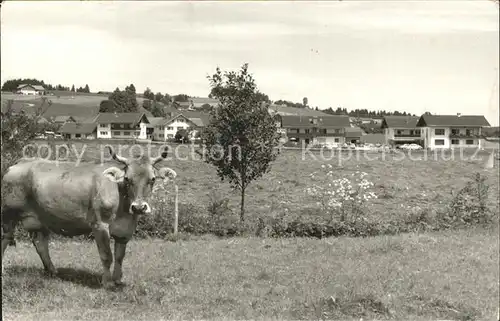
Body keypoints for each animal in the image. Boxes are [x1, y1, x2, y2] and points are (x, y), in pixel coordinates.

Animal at [0, 145, 177, 288]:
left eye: (152, 179)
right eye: (127, 179)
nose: (139, 207)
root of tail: (20, 162)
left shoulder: (125, 230)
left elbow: (120, 256)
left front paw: (118, 280)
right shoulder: (100, 225)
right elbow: (107, 255)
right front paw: (107, 283)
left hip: (39, 219)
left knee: (40, 244)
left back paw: (52, 271)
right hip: (8, 215)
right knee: (5, 239)